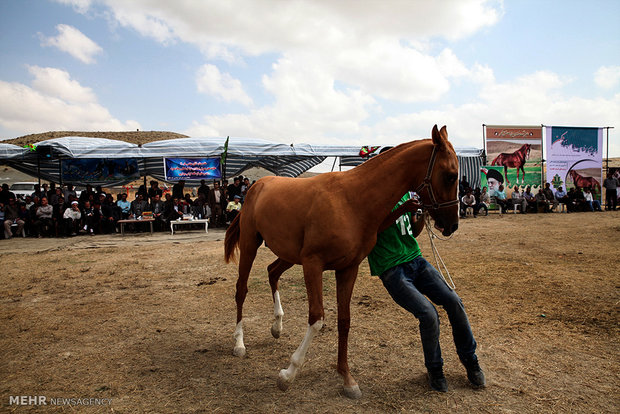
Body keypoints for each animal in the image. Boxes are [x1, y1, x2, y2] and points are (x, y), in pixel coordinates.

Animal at [224, 125, 460, 398]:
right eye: (451, 175)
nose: (452, 225)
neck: (351, 201)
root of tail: (258, 185)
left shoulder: (348, 269)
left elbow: (344, 321)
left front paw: (346, 378)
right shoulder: (313, 264)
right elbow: (317, 318)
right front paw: (288, 373)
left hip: (289, 255)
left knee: (272, 272)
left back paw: (277, 326)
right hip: (250, 246)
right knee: (241, 289)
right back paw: (239, 343)